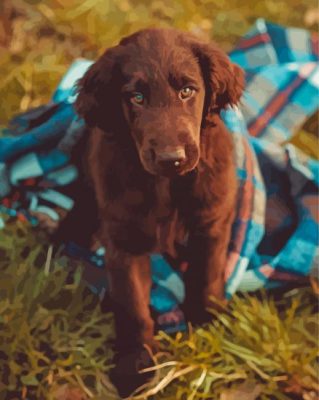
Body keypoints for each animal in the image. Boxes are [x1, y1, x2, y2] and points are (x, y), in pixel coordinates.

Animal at [74, 28, 245, 396]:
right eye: (136, 97)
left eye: (187, 91)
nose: (171, 158)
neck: (166, 185)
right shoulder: (123, 243)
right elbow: (133, 305)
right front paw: (135, 366)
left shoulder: (211, 224)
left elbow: (207, 276)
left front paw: (209, 325)